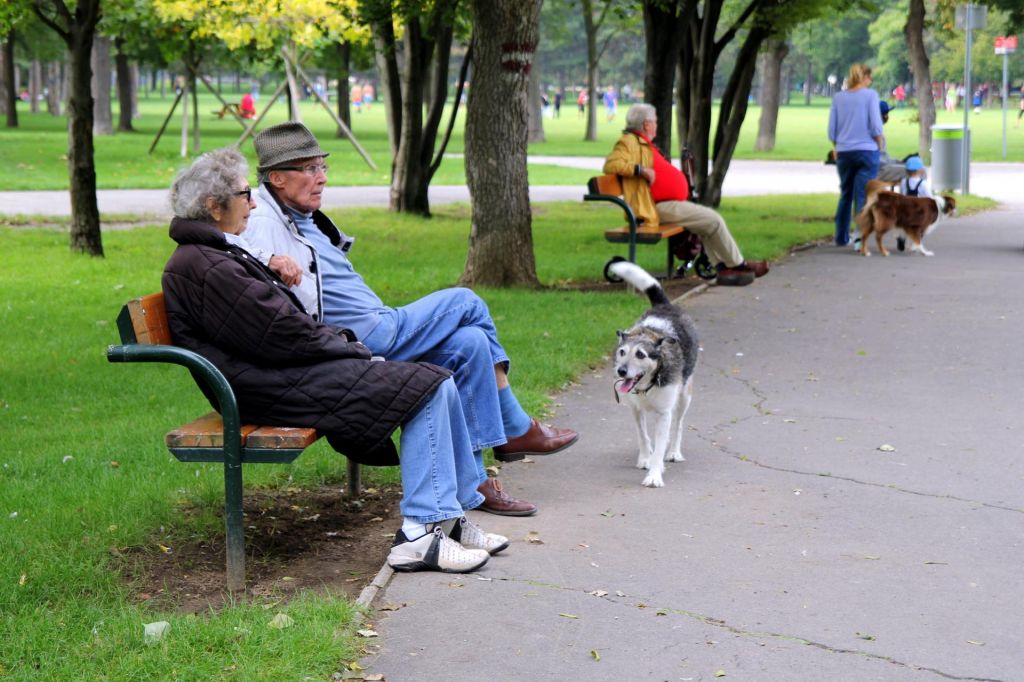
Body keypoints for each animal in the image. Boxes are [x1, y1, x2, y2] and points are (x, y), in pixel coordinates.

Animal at [610, 258, 700, 485]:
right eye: (622, 352)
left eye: (640, 355)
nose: (621, 371)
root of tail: (663, 306)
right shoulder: (635, 409)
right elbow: (643, 435)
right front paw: (645, 458)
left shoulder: (664, 412)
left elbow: (661, 445)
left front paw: (654, 474)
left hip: (684, 396)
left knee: (677, 425)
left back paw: (674, 451)